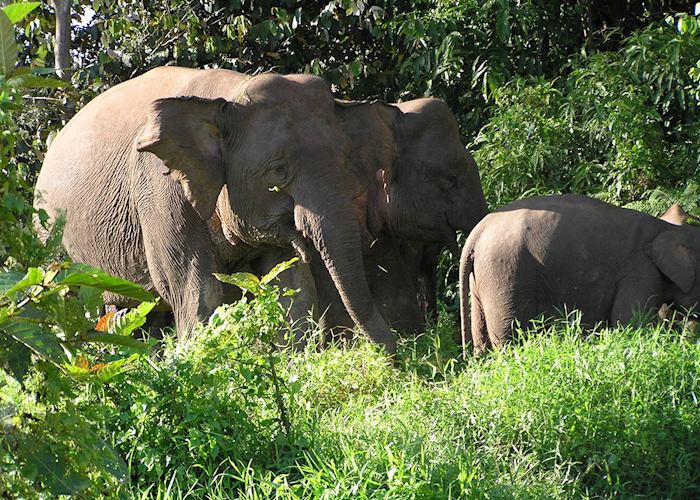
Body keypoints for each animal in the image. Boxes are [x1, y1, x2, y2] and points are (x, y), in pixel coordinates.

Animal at [34, 66, 396, 353]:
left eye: (345, 160)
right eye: (277, 171)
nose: (395, 358)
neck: (230, 97)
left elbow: (290, 284)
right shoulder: (160, 191)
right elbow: (197, 289)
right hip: (48, 241)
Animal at [459, 194, 700, 354]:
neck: (668, 228)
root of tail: (477, 232)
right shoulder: (640, 271)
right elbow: (630, 323)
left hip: (482, 280)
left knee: (481, 339)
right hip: (505, 274)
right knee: (509, 337)